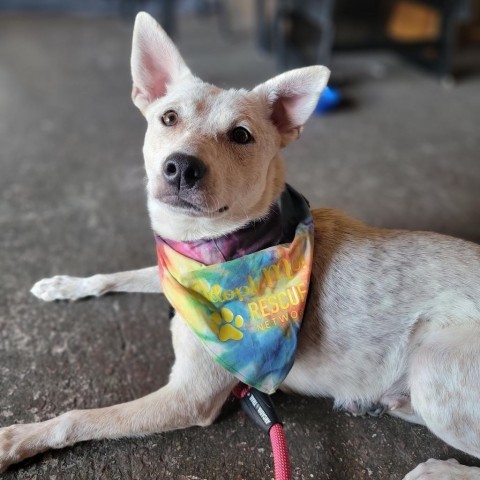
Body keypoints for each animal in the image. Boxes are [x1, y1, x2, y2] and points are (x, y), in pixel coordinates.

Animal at [2, 11, 480, 480]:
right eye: (169, 117)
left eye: (241, 136)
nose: (181, 168)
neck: (215, 249)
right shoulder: (170, 270)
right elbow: (117, 275)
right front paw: (64, 285)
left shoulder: (187, 396)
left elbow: (78, 418)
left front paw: (17, 438)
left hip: (433, 364)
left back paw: (435, 468)